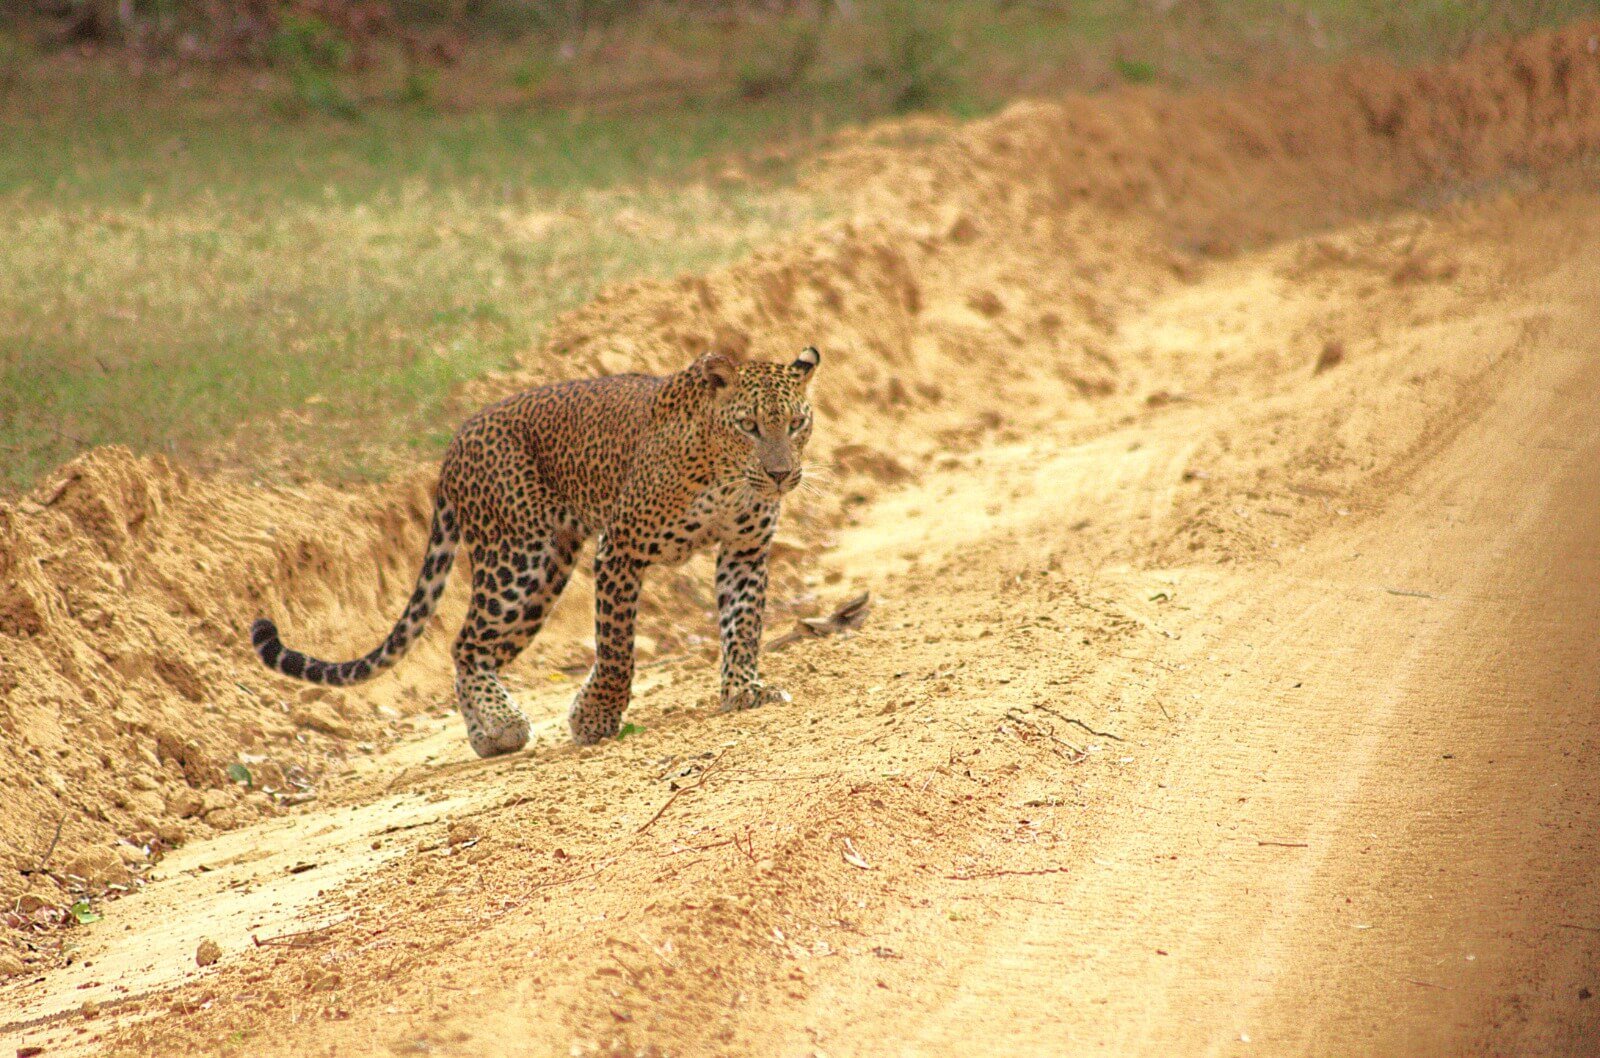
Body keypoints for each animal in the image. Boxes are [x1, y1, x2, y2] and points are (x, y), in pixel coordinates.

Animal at [249, 347, 820, 758]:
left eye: (796, 423)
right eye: (749, 425)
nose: (781, 474)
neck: (727, 476)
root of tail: (455, 442)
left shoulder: (745, 550)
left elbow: (743, 628)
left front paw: (745, 690)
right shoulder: (620, 549)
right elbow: (617, 650)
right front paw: (595, 718)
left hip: (545, 574)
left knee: (472, 648)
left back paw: (487, 734)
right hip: (517, 559)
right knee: (466, 641)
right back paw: (502, 726)